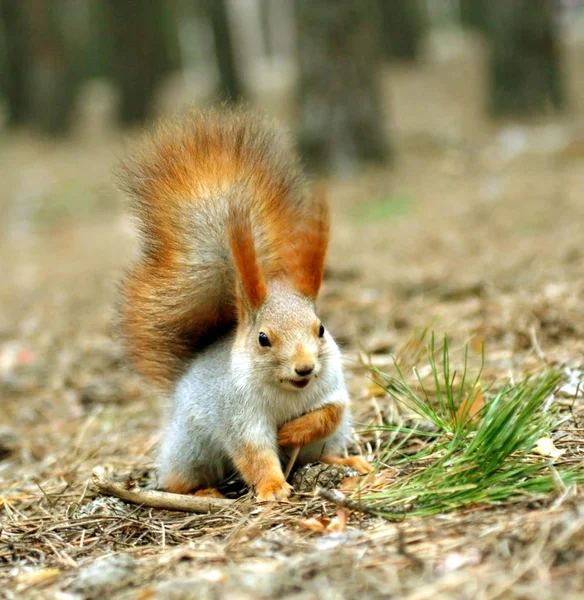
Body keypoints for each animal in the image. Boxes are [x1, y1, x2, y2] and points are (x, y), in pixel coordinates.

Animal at [117, 109, 370, 502]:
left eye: (321, 329)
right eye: (263, 339)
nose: (305, 367)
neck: (288, 391)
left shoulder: (333, 388)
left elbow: (329, 412)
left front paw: (290, 432)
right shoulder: (240, 416)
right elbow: (255, 454)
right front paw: (273, 487)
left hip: (333, 437)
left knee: (325, 446)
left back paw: (347, 464)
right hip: (192, 448)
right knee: (179, 481)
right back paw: (203, 493)